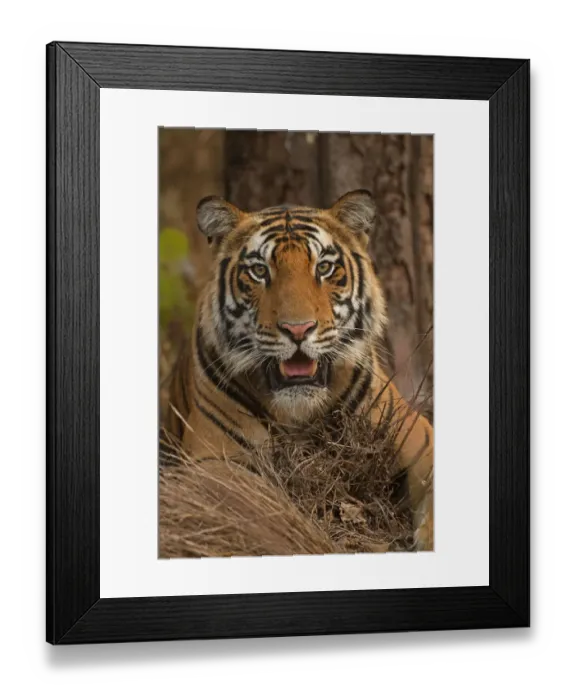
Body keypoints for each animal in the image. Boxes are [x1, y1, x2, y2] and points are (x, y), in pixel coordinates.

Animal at [164, 190, 434, 550]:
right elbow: (253, 496)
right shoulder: (211, 459)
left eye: (325, 267)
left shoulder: (419, 436)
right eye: (259, 271)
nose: (298, 329)